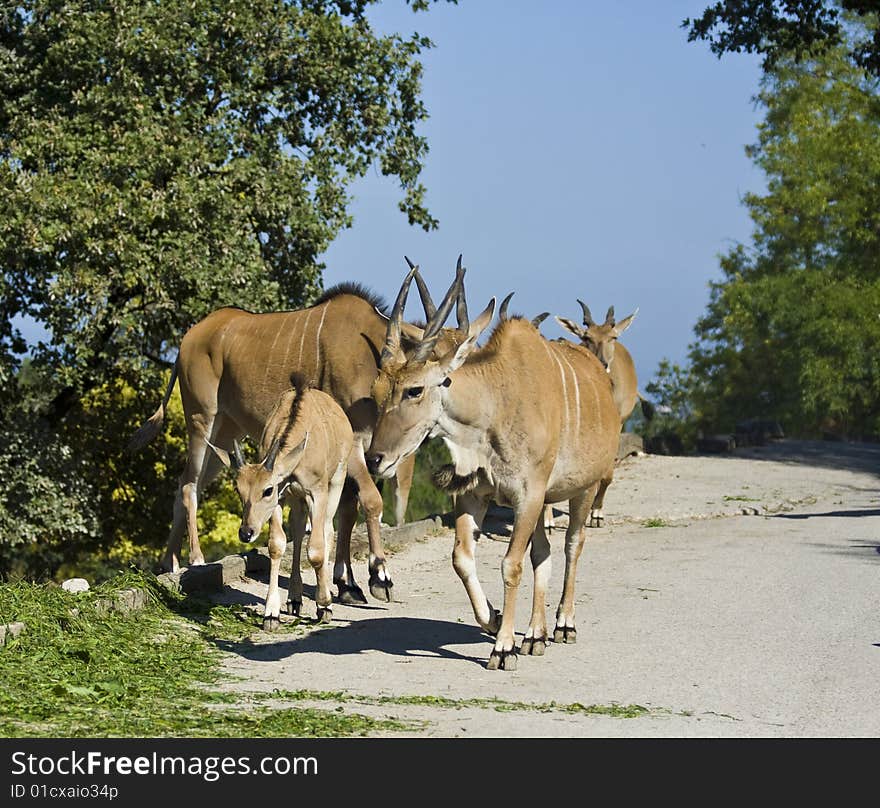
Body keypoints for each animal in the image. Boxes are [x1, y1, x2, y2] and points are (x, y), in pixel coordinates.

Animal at [368, 264, 624, 668]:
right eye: (377, 391)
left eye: (414, 390)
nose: (376, 459)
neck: (495, 406)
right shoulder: (477, 496)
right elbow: (462, 558)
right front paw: (493, 619)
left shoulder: (528, 495)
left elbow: (511, 564)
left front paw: (504, 647)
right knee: (543, 553)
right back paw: (535, 635)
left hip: (583, 488)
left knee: (573, 544)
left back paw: (563, 624)